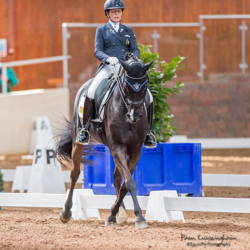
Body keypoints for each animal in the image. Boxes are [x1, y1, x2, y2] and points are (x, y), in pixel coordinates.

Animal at [55, 53, 153, 229]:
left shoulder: (135, 151)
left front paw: (116, 215)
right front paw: (140, 217)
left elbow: (125, 183)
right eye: (127, 86)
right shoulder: (117, 148)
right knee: (74, 174)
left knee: (116, 178)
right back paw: (65, 213)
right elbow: (130, 182)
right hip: (79, 142)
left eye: (145, 85)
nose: (134, 116)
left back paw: (119, 214)